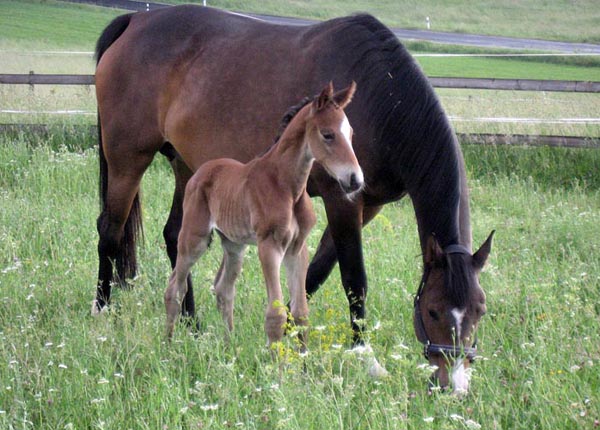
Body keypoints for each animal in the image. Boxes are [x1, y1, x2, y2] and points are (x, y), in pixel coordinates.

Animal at [163, 82, 360, 352]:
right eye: (328, 134)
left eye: (350, 134)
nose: (355, 180)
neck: (288, 187)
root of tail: (201, 171)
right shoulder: (270, 246)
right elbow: (276, 315)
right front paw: (276, 363)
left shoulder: (297, 249)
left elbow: (300, 312)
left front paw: (304, 361)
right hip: (194, 239)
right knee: (175, 288)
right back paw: (168, 346)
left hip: (234, 245)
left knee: (224, 290)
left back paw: (229, 348)